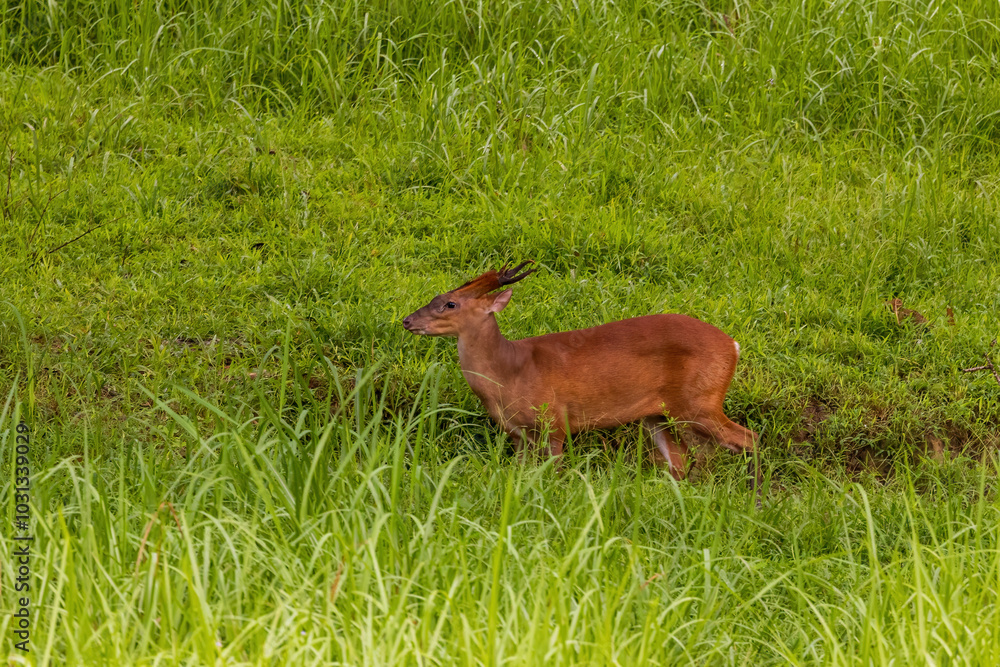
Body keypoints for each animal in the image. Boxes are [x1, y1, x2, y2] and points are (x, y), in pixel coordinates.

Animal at [402, 261, 760, 489]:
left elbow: (556, 473)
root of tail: (733, 345)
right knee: (681, 458)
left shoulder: (555, 421)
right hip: (657, 414)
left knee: (748, 438)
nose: (407, 320)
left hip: (699, 402)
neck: (510, 371)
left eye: (450, 304)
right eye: (435, 297)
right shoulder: (518, 434)